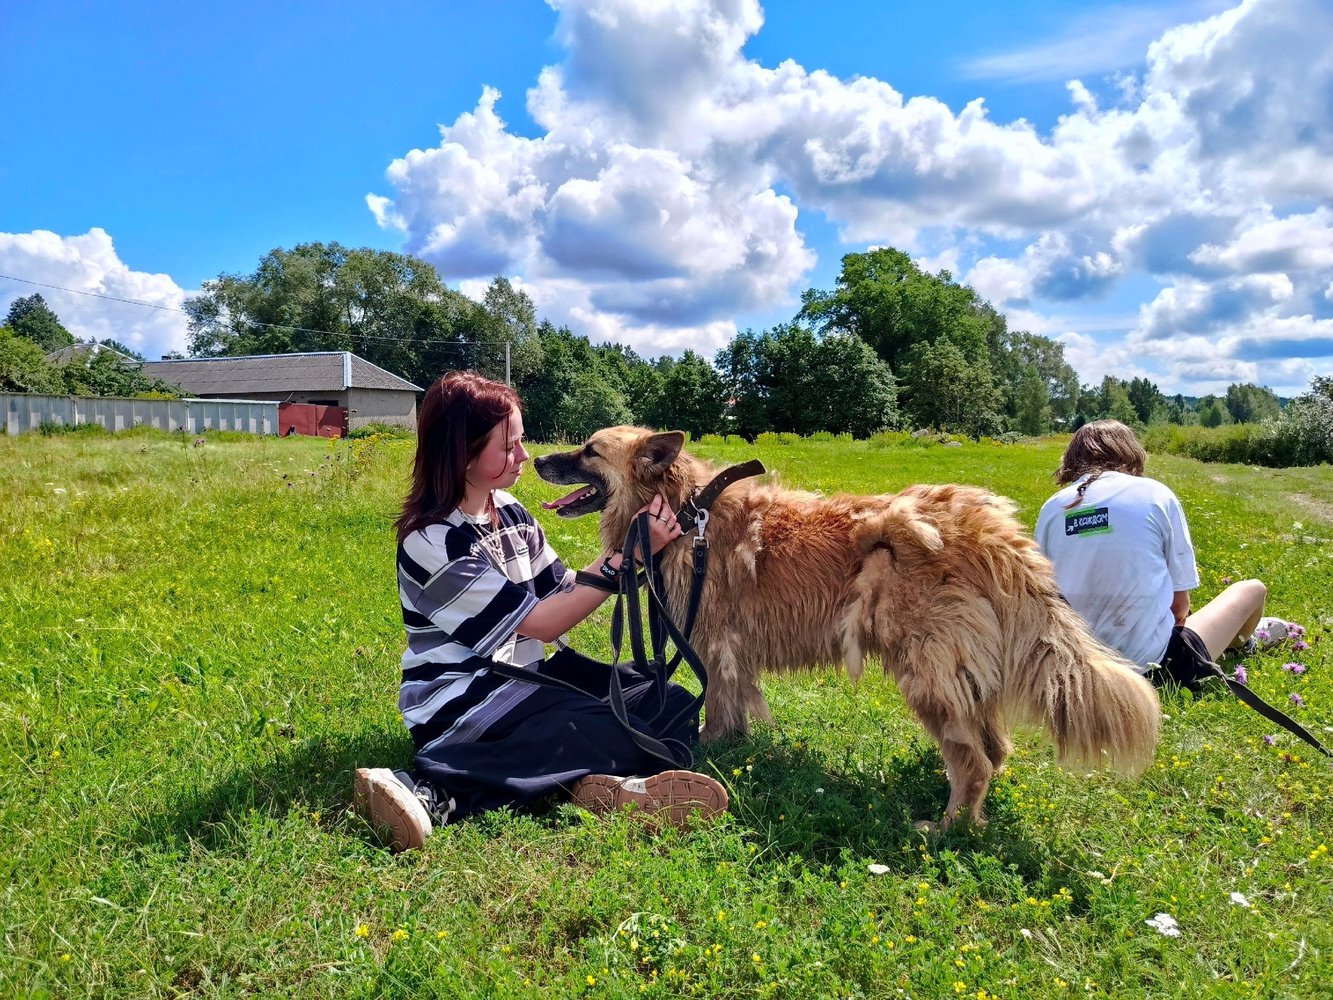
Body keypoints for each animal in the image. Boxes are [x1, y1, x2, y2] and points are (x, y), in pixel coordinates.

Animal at [530, 432, 1157, 832]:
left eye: (589, 450)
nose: (536, 459)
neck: (685, 510)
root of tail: (992, 533)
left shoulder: (717, 647)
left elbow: (720, 708)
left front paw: (706, 751)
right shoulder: (732, 653)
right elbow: (736, 708)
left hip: (925, 671)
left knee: (976, 760)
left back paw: (949, 827)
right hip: (957, 673)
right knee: (992, 749)